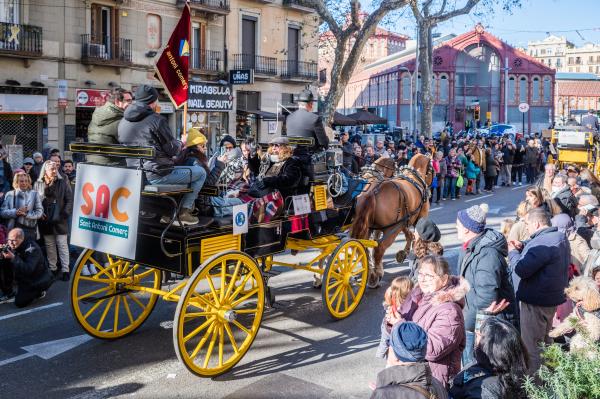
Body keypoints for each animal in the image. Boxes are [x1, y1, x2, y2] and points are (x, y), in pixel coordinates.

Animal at [352, 152, 432, 288]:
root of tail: (372, 192)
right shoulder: (418, 218)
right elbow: (417, 238)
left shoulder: (402, 221)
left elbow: (409, 234)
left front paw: (404, 253)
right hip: (391, 229)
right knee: (378, 249)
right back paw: (376, 275)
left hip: (368, 227)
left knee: (363, 249)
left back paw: (369, 272)